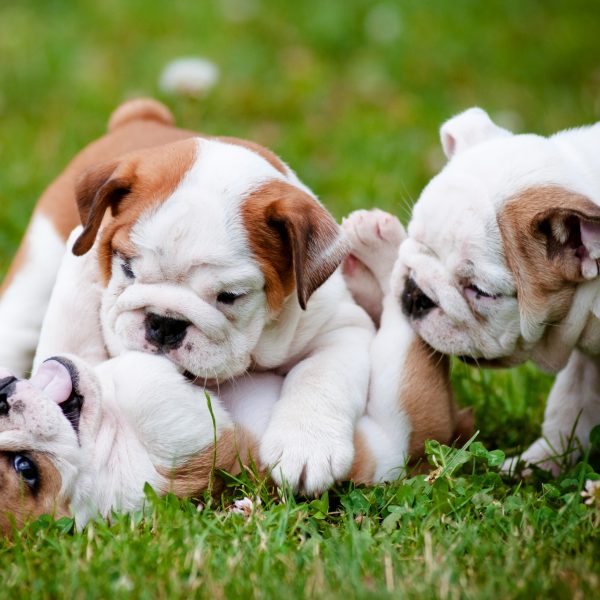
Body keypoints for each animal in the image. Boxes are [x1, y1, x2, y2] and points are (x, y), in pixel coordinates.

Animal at [0, 217, 472, 536]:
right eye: (25, 469)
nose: (4, 393)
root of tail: (456, 423)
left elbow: (72, 327)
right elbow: (143, 375)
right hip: (404, 395)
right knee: (399, 316)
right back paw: (381, 244)